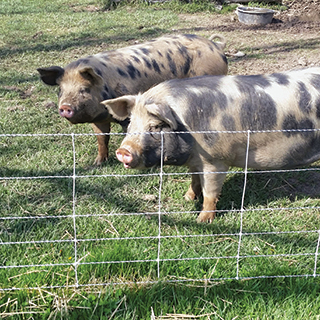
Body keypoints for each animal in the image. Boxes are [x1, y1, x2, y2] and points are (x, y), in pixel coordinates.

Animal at [37, 33, 228, 165]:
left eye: (84, 89)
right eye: (60, 90)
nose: (65, 107)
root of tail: (216, 46)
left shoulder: (128, 117)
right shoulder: (98, 120)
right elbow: (102, 139)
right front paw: (97, 163)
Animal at [102, 67, 320, 222]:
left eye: (155, 126)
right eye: (131, 123)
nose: (122, 151)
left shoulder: (216, 160)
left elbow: (210, 192)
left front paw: (202, 220)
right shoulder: (196, 161)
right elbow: (194, 180)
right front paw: (187, 198)